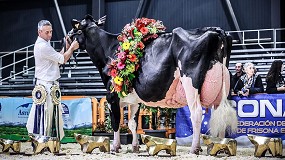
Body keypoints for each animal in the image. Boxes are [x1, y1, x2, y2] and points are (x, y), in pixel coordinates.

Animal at [67, 15, 236, 155]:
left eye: (75, 30)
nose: (67, 38)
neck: (109, 50)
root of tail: (218, 31)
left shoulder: (111, 96)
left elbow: (116, 121)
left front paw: (115, 147)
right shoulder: (134, 100)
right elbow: (132, 123)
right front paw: (135, 146)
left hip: (191, 83)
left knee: (196, 113)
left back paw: (195, 148)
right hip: (222, 87)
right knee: (220, 115)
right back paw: (219, 146)